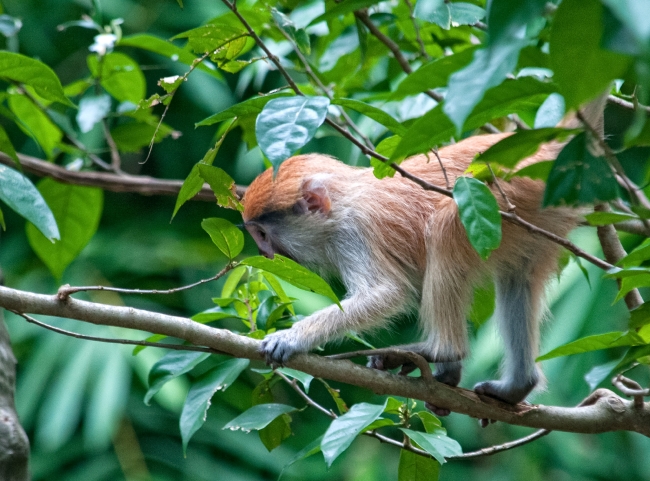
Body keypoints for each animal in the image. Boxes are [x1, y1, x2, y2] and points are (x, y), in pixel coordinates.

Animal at [244, 100, 604, 404]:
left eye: (262, 234)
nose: (265, 254)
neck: (343, 197)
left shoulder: (354, 233)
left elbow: (386, 293)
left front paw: (292, 338)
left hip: (510, 192)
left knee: (447, 227)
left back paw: (443, 350)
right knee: (519, 277)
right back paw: (518, 385)